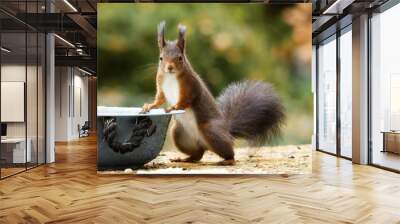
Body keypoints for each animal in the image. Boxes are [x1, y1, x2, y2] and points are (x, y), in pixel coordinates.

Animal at [141, 21, 284, 164]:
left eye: (180, 58)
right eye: (161, 58)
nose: (169, 67)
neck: (170, 77)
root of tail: (226, 130)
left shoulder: (192, 86)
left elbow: (187, 99)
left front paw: (174, 107)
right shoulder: (161, 84)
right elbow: (159, 99)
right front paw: (148, 106)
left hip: (211, 131)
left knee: (228, 152)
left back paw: (228, 160)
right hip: (179, 134)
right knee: (198, 154)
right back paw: (185, 159)